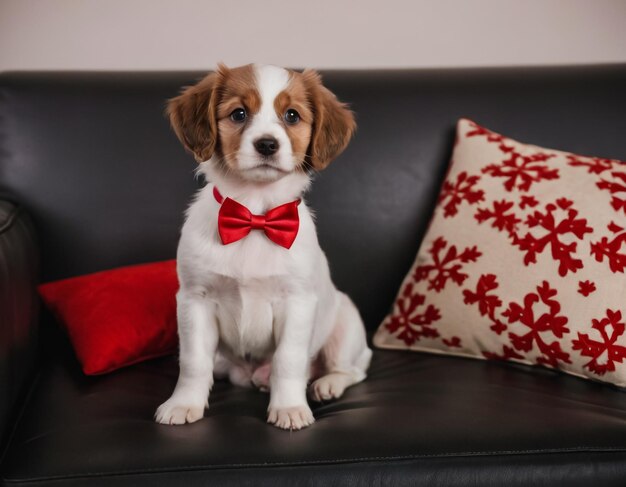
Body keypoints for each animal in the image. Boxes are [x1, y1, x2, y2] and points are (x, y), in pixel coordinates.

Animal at [155, 62, 370, 430]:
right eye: (239, 114)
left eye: (292, 115)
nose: (267, 144)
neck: (254, 216)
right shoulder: (195, 299)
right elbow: (194, 361)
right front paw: (184, 404)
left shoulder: (297, 302)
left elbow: (289, 359)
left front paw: (289, 407)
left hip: (345, 324)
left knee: (352, 369)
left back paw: (326, 383)